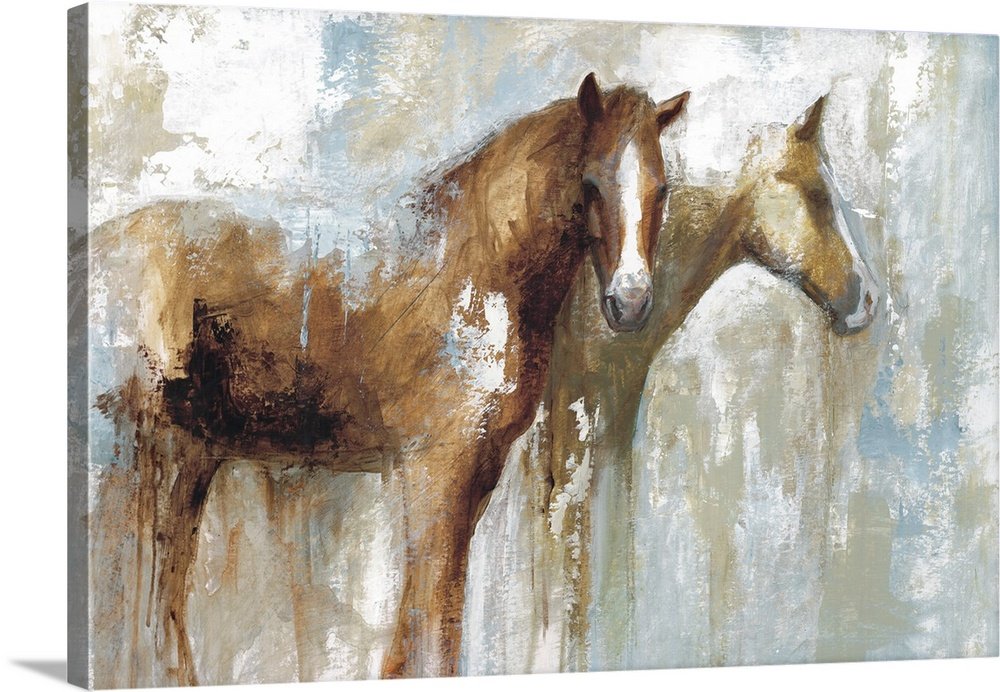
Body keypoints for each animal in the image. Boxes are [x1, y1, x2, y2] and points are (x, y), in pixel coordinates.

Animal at [89, 73, 690, 684]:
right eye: (590, 184)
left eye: (662, 190)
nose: (630, 303)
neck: (475, 263)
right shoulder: (435, 469)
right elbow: (434, 615)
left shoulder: (476, 473)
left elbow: (420, 623)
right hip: (123, 460)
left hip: (187, 456)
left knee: (162, 605)